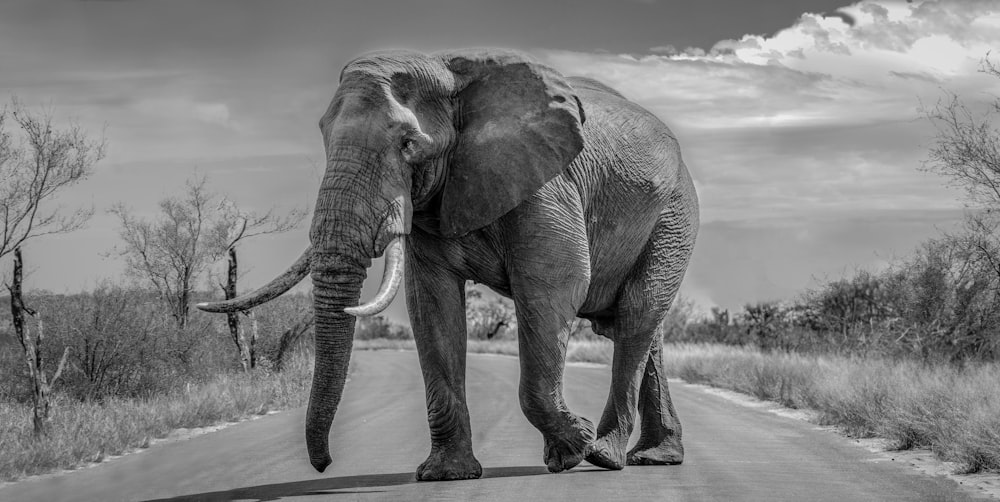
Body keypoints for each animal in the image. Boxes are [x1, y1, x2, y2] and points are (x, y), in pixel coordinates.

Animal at [195, 48, 696, 482]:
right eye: (321, 136)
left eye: (408, 144)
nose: (324, 465)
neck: (449, 73)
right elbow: (431, 304)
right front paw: (446, 475)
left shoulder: (547, 183)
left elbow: (556, 284)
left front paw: (574, 448)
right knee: (642, 328)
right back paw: (654, 457)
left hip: (674, 215)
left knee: (635, 316)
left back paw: (605, 455)